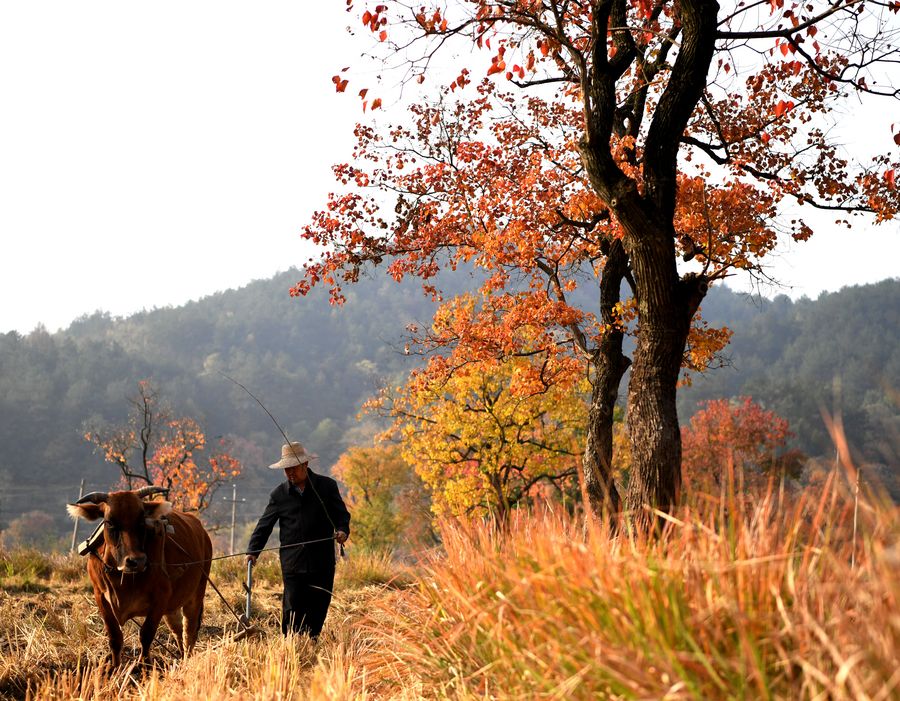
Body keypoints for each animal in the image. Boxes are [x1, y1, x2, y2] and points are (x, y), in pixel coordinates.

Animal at [66, 486, 212, 667]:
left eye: (142, 520)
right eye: (109, 522)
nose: (136, 561)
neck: (123, 578)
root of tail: (202, 532)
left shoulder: (160, 598)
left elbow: (146, 634)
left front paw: (144, 664)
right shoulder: (100, 596)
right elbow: (115, 637)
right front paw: (115, 666)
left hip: (196, 594)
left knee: (189, 631)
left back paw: (187, 659)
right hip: (173, 606)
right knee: (177, 629)